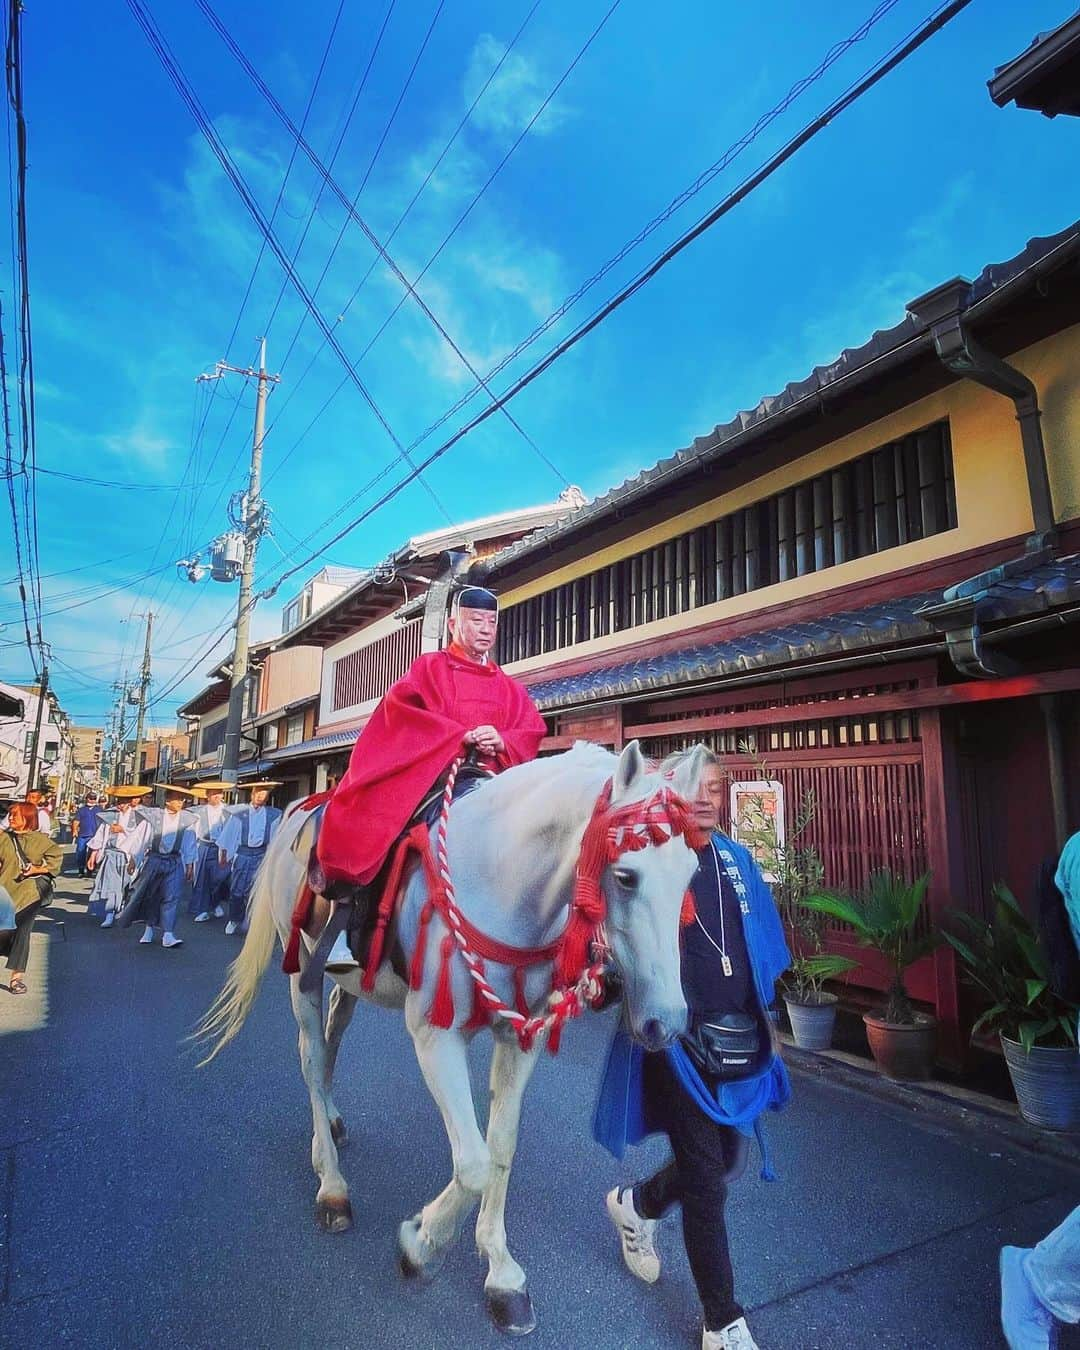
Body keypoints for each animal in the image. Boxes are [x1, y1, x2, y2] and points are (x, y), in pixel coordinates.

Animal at [195, 745, 702, 1333]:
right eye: (625, 876)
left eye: (691, 873)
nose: (666, 1021)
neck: (503, 882)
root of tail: (298, 807)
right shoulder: (435, 1035)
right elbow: (475, 1164)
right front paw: (422, 1246)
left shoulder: (520, 1036)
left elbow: (500, 1150)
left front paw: (501, 1273)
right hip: (301, 965)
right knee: (310, 1054)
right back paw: (333, 1185)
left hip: (355, 979)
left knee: (332, 1040)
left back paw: (331, 1130)